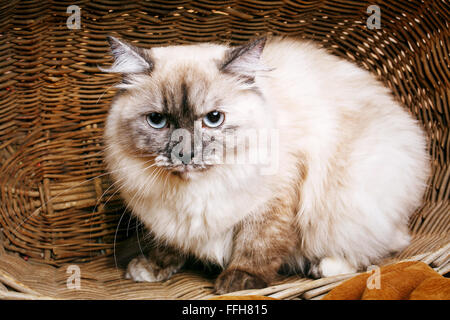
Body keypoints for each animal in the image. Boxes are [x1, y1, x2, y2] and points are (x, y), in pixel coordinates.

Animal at [101, 36, 428, 294]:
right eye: (157, 120)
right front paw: (150, 268)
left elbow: (258, 244)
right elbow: (169, 245)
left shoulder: (274, 199)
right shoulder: (170, 220)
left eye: (213, 118)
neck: (195, 189)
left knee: (382, 246)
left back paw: (324, 267)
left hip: (352, 202)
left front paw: (238, 282)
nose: (186, 153)